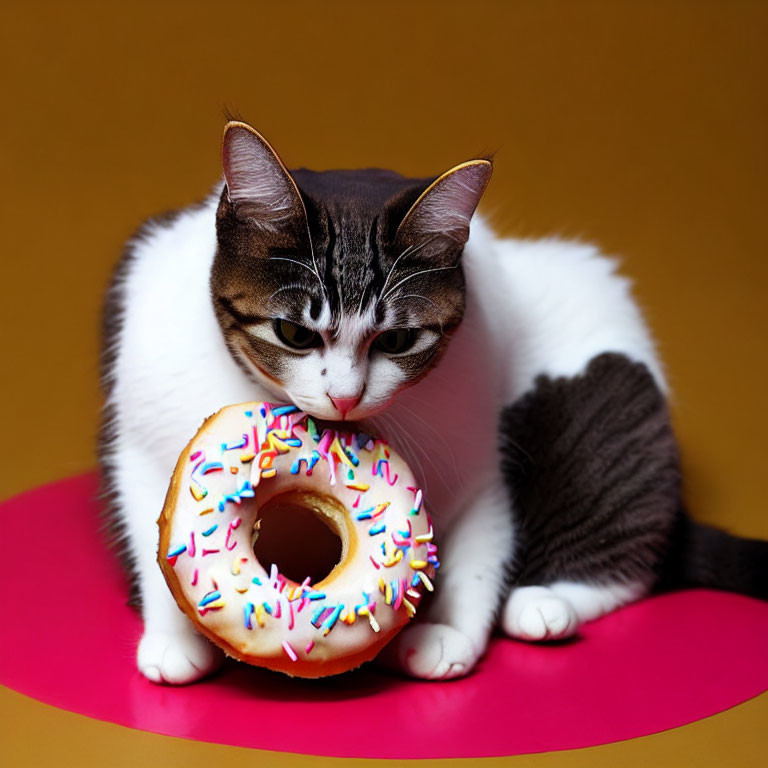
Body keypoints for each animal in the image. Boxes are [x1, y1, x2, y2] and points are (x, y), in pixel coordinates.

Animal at [99, 120, 764, 684]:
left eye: (397, 340)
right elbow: (148, 508)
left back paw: (545, 602)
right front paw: (174, 638)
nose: (345, 396)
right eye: (292, 333)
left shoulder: (474, 448)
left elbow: (479, 534)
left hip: (604, 411)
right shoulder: (144, 423)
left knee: (632, 545)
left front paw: (446, 631)